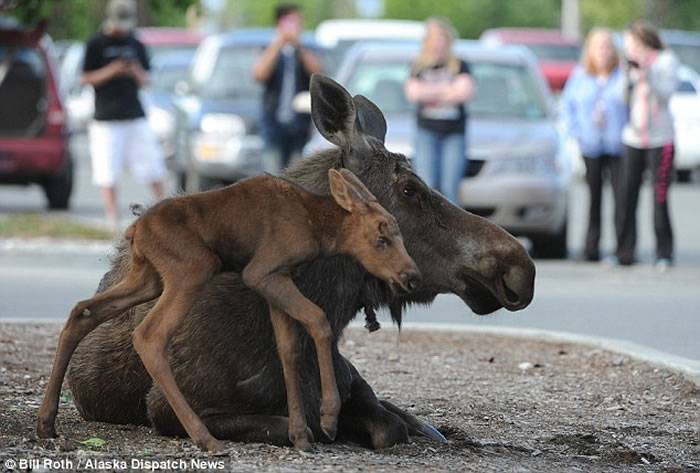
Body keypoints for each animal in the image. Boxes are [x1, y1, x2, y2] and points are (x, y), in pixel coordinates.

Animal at [37, 167, 422, 450]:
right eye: (381, 238)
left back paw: (46, 423)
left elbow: (288, 348)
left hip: (148, 277)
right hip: (191, 268)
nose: (411, 275)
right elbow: (319, 320)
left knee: (83, 311)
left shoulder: (276, 277)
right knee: (149, 335)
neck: (318, 228)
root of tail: (134, 230)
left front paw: (300, 436)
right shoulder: (263, 270)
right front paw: (328, 417)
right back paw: (205, 437)